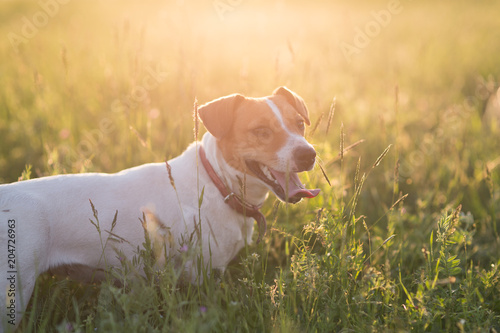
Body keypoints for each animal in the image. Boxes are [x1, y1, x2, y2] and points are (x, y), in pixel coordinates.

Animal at [0, 86, 318, 330]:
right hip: (14, 293)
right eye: (261, 130)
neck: (218, 182)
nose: (309, 154)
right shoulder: (202, 275)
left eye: (300, 124)